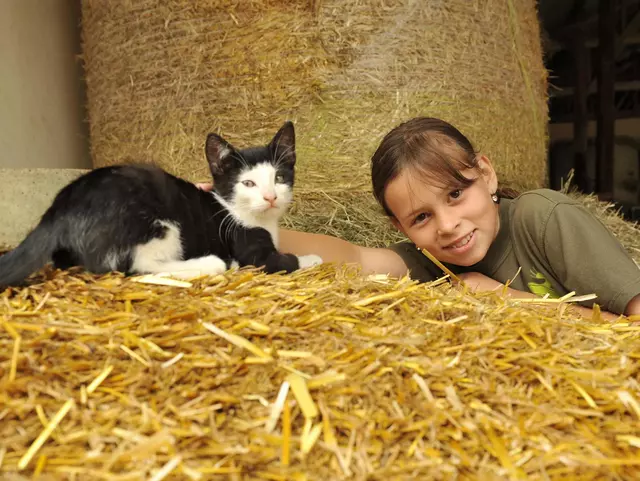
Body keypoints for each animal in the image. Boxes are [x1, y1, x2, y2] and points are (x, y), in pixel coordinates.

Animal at [0, 120, 320, 286]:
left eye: (279, 177)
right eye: (248, 183)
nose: (271, 197)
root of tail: (60, 208)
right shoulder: (247, 246)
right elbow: (281, 261)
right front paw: (311, 258)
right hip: (155, 224)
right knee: (134, 268)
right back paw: (212, 263)